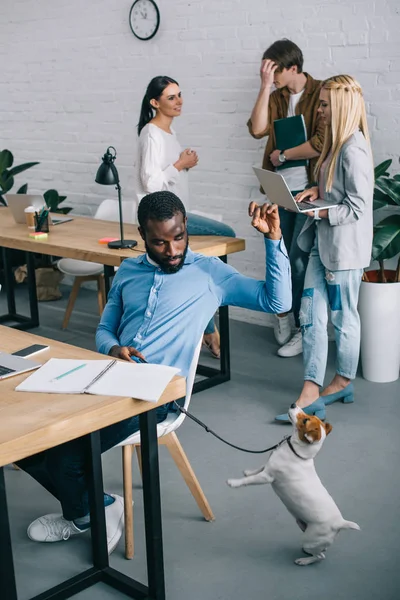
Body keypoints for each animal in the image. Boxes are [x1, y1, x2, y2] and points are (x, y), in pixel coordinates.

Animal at [227, 406, 360, 564]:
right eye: (309, 415)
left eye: (305, 419)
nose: (292, 405)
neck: (298, 453)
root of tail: (340, 523)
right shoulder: (267, 467)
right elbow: (259, 468)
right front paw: (248, 472)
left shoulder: (266, 477)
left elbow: (249, 480)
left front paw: (234, 482)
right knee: (322, 550)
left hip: (309, 539)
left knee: (319, 556)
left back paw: (304, 561)